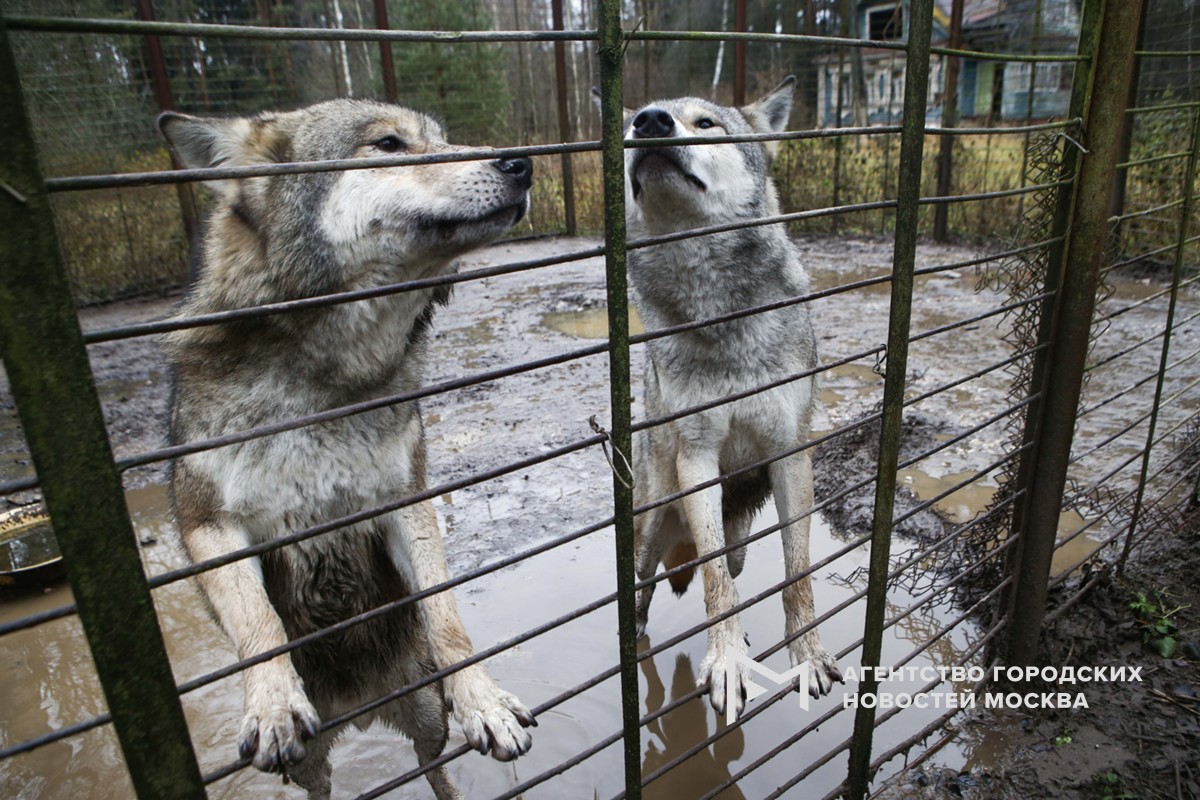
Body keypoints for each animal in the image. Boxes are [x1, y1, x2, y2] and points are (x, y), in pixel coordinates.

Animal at [159, 100, 535, 800]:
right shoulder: (207, 526)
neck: (328, 384)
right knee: (321, 783)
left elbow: (446, 615)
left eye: (441, 140)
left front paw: (484, 699)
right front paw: (274, 704)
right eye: (388, 144)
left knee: (433, 763)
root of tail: (362, 710)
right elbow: (259, 623)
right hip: (310, 762)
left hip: (424, 711)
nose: (522, 163)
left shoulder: (406, 500)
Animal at [614, 79, 840, 719]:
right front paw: (725, 665)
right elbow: (713, 578)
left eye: (707, 124)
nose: (649, 121)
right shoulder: (697, 459)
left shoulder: (791, 453)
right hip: (654, 516)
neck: (721, 318)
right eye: (632, 125)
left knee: (735, 569)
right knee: (649, 586)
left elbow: (796, 571)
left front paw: (807, 656)